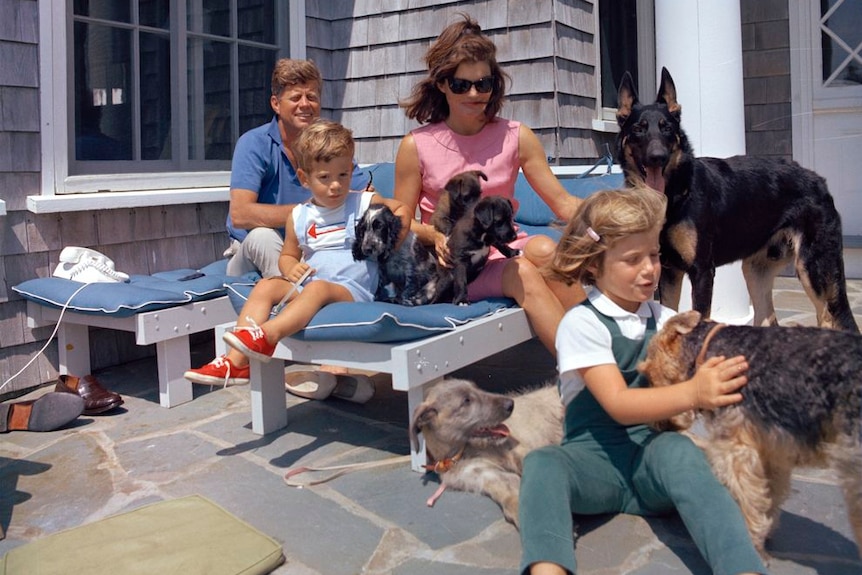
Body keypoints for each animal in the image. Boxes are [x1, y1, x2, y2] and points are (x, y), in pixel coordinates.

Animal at [412, 378, 568, 528]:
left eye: (477, 388)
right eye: (466, 401)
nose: (510, 404)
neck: (465, 451)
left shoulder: (519, 450)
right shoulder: (485, 474)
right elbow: (509, 490)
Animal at [616, 67, 860, 332]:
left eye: (666, 128)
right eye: (638, 129)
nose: (657, 157)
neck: (675, 193)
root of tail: (819, 181)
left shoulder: (702, 272)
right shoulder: (669, 272)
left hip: (812, 268)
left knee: (827, 318)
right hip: (755, 271)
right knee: (768, 319)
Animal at [640, 312, 862, 560]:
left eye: (647, 372)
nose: (659, 425)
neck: (706, 351)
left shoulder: (735, 449)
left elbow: (745, 501)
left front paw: (750, 542)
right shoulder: (771, 451)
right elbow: (767, 497)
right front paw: (764, 533)